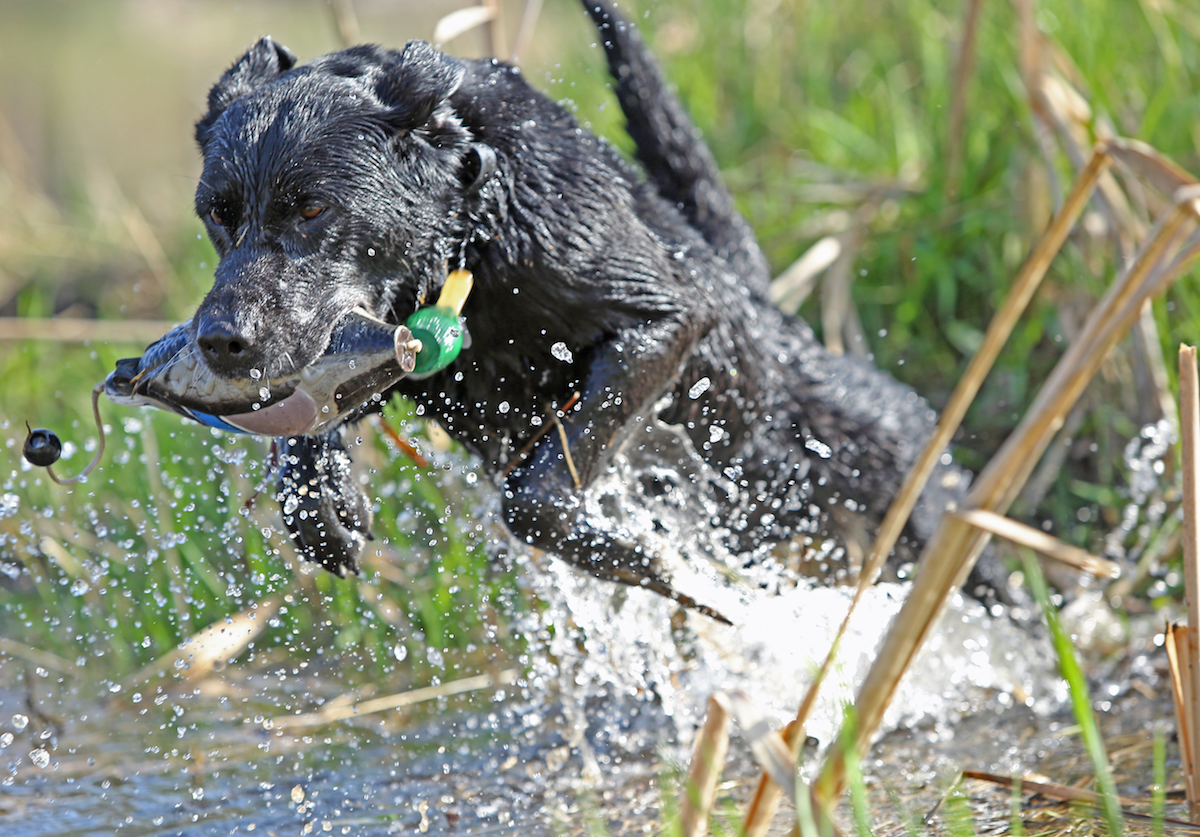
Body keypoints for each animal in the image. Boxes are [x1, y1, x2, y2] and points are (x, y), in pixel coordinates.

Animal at [189, 1, 974, 613]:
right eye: (216, 214)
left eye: (313, 208)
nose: (221, 340)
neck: (478, 218)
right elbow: (310, 410)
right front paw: (321, 499)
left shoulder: (664, 319)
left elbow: (538, 493)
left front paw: (644, 564)